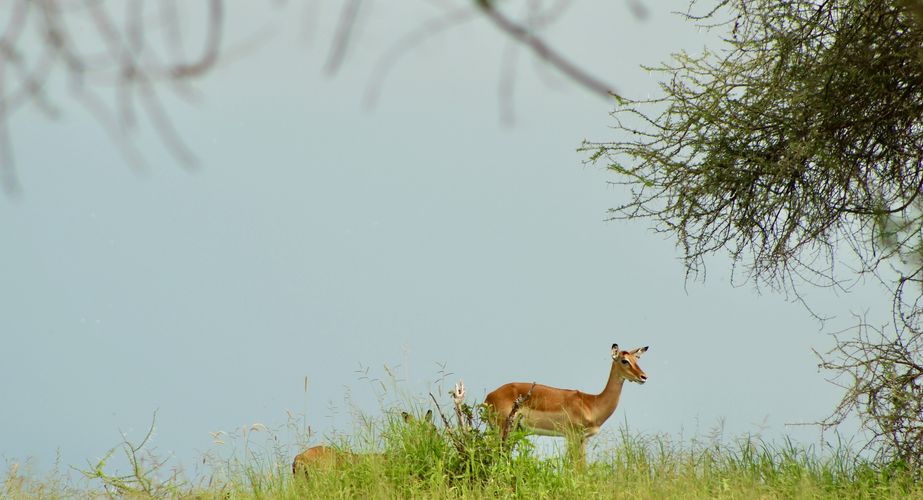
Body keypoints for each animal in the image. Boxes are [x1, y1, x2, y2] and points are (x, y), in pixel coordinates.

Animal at [484, 343, 649, 463]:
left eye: (636, 360)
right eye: (625, 360)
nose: (643, 377)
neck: (592, 403)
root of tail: (489, 396)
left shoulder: (583, 439)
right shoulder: (573, 436)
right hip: (502, 430)